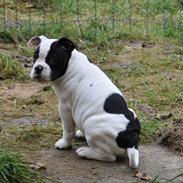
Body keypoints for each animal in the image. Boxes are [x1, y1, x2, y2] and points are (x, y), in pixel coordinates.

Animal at [27, 35, 141, 168]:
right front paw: (81, 133)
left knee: (109, 157)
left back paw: (85, 152)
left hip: (92, 126)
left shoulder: (65, 108)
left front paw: (64, 144)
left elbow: (68, 130)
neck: (71, 64)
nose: (38, 68)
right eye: (35, 56)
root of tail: (131, 137)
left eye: (53, 59)